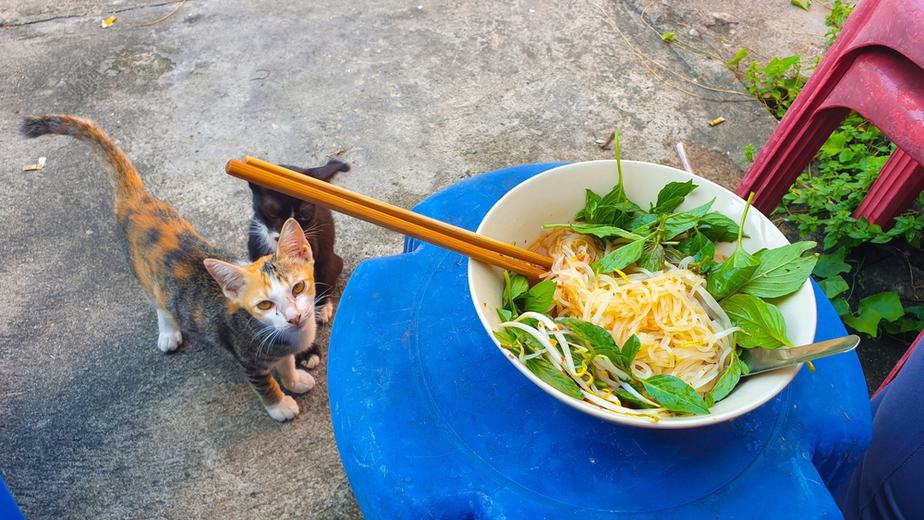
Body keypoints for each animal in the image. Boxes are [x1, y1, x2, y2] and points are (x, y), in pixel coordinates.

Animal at [21, 115, 318, 422]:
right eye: (264, 305)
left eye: (298, 287)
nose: (294, 317)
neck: (287, 336)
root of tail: (137, 199)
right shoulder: (248, 357)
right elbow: (265, 384)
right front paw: (279, 405)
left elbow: (287, 363)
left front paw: (295, 379)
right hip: (142, 273)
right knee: (159, 303)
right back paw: (168, 331)